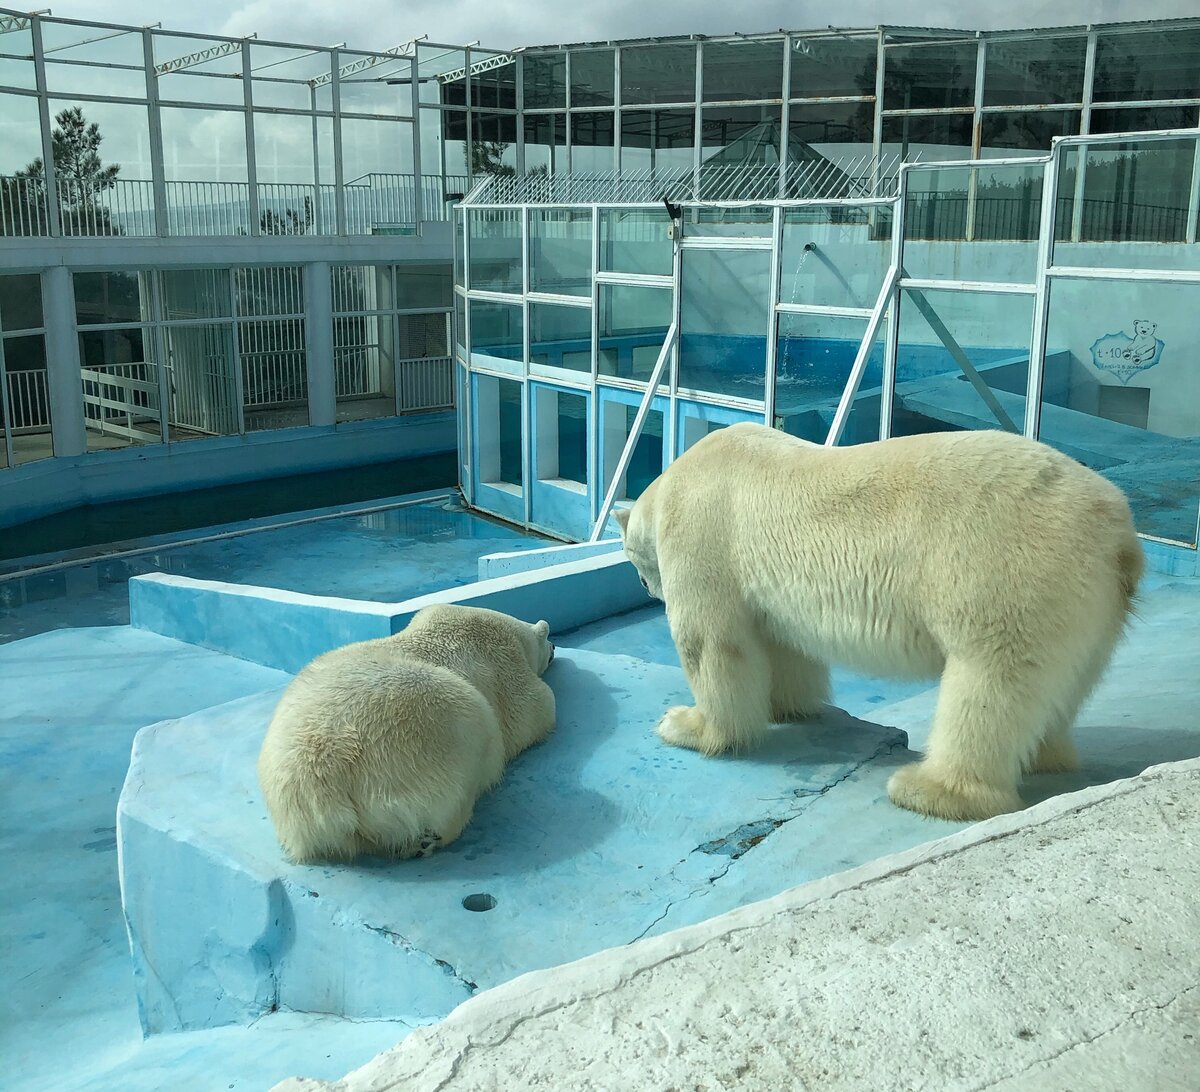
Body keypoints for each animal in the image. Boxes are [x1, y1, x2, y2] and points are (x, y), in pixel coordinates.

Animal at [258, 602, 556, 868]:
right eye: (549, 638)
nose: (554, 647)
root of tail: (318, 784)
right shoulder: (504, 665)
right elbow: (535, 707)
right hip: (432, 735)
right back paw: (429, 838)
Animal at [619, 427, 1142, 820]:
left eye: (630, 557)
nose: (646, 586)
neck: (680, 477)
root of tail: (1118, 533)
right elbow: (782, 643)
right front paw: (785, 706)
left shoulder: (701, 531)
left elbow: (711, 641)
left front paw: (687, 724)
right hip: (1091, 606)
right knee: (1065, 683)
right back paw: (1044, 757)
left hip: (1004, 570)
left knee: (990, 680)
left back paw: (929, 789)